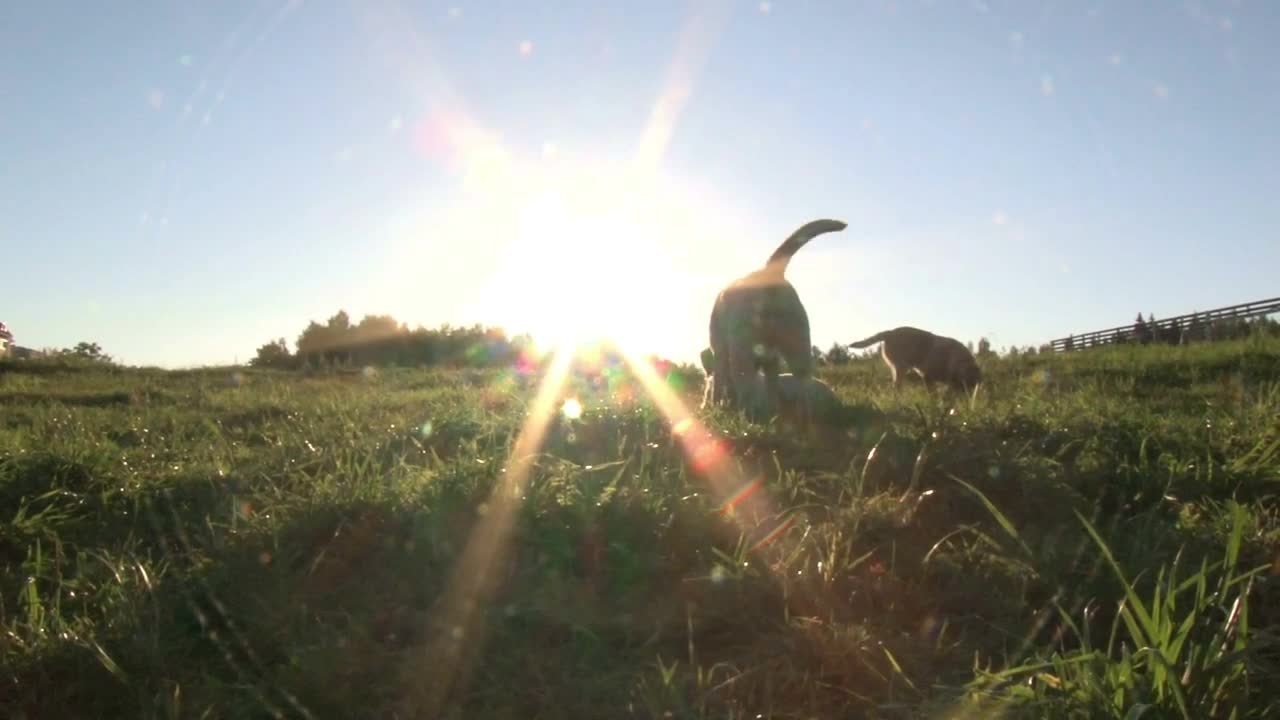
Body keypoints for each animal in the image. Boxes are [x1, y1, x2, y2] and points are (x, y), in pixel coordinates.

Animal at [711, 217, 849, 409]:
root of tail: (770, 273)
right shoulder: (772, 362)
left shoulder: (721, 351)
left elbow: (718, 382)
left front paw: (716, 405)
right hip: (798, 345)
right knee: (803, 387)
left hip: (743, 349)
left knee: (745, 386)